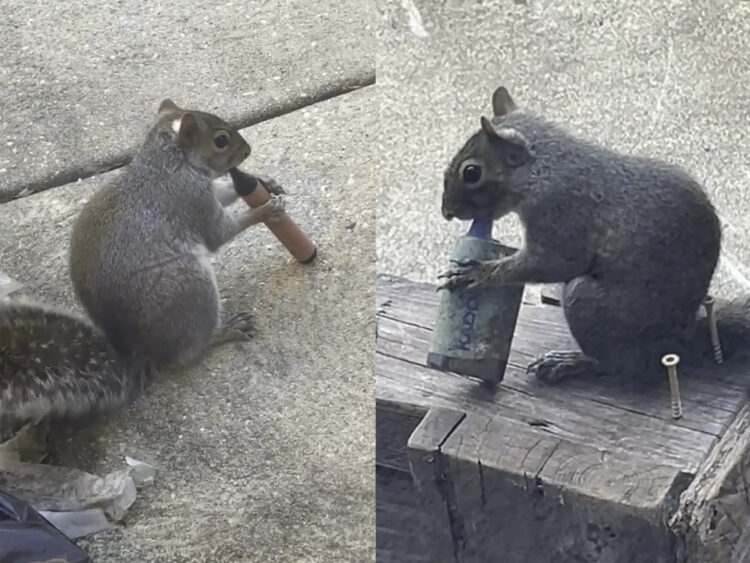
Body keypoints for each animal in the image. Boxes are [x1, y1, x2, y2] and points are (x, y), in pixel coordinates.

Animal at [0, 99, 285, 437]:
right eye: (220, 140)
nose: (248, 151)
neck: (167, 162)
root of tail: (140, 351)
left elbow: (227, 192)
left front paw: (263, 182)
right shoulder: (191, 200)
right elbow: (219, 232)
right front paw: (265, 209)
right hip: (188, 287)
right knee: (188, 351)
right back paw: (224, 330)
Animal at [439, 86, 750, 385]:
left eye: (471, 172)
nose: (446, 212)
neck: (541, 168)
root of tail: (681, 338)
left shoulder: (560, 214)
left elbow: (553, 263)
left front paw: (477, 273)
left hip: (587, 302)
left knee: (619, 366)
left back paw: (571, 362)